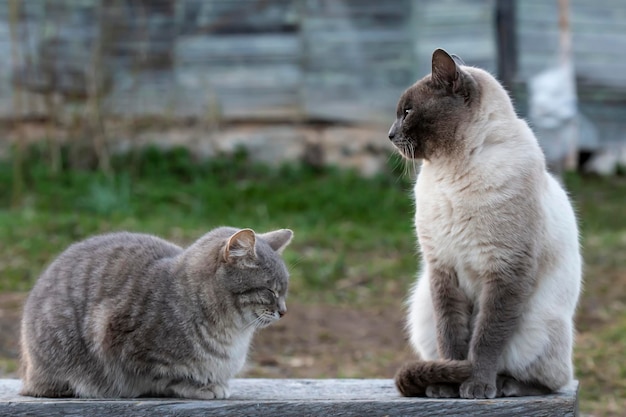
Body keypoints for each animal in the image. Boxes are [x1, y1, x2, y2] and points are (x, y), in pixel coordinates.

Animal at [19, 226, 292, 398]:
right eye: (270, 290)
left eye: (284, 290)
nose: (284, 311)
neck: (232, 333)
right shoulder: (121, 344)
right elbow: (166, 377)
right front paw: (201, 386)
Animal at [388, 48, 584, 396]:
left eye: (407, 112)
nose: (389, 134)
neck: (451, 172)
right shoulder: (443, 269)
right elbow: (451, 336)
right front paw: (446, 385)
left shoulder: (505, 271)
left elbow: (486, 339)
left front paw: (475, 386)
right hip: (422, 309)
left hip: (537, 327)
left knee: (551, 381)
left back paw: (505, 385)